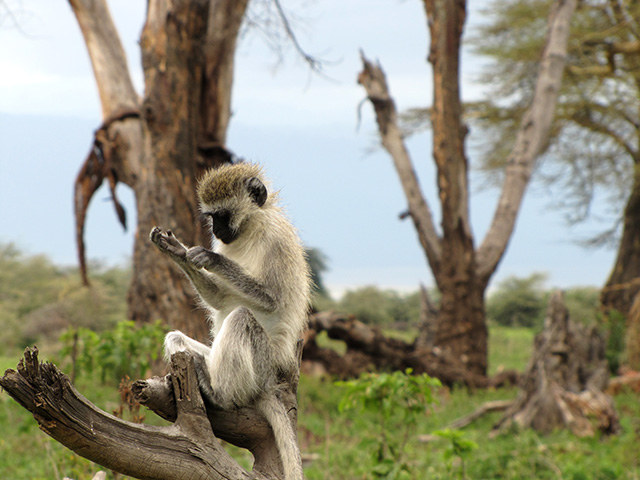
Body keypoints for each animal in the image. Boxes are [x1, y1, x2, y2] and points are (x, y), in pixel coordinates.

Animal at [150, 162, 310, 480]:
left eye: (222, 215)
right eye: (211, 217)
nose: (216, 230)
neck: (251, 228)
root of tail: (269, 384)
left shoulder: (278, 240)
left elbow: (272, 299)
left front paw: (212, 258)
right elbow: (220, 299)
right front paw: (176, 250)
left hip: (261, 365)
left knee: (240, 318)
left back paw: (218, 395)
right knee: (177, 338)